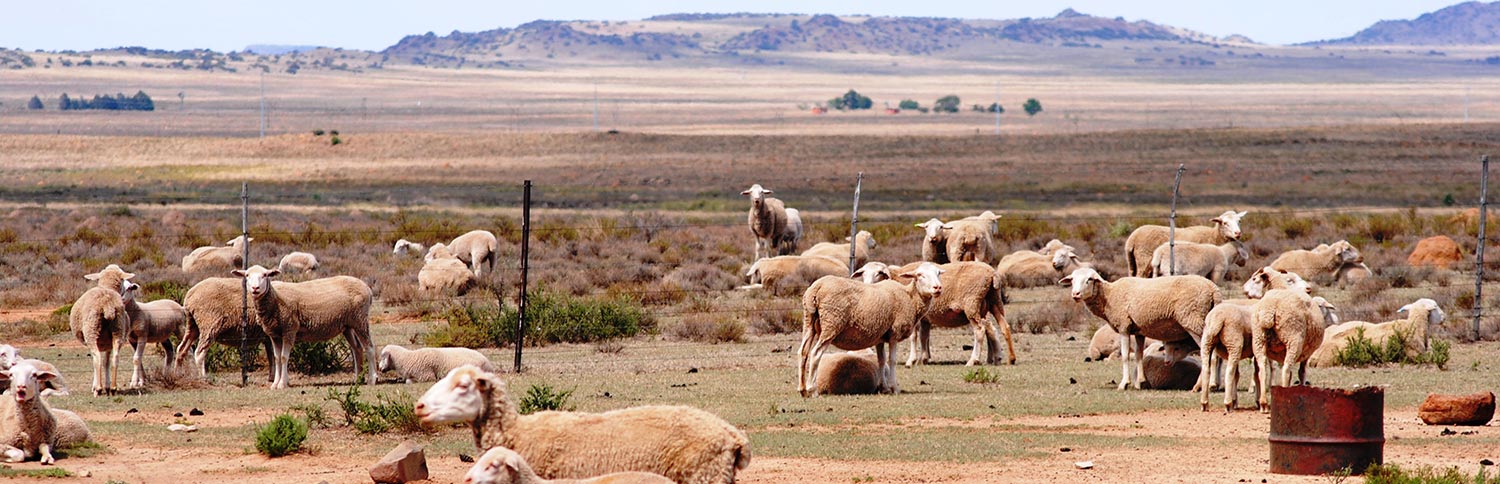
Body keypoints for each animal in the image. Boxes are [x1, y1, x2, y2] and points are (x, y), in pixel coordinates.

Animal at [68, 264, 133, 396]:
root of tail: (107, 304)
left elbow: (96, 362)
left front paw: (95, 386)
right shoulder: (108, 344)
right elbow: (106, 362)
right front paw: (107, 386)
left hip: (91, 331)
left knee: (97, 358)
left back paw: (98, 389)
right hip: (118, 330)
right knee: (115, 358)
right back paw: (113, 388)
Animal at [233, 265, 377, 389]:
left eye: (265, 275)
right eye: (247, 275)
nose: (255, 288)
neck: (275, 299)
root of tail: (367, 288)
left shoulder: (289, 329)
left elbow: (284, 357)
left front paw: (282, 384)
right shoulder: (275, 335)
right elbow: (277, 358)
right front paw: (275, 384)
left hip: (360, 320)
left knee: (369, 348)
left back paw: (372, 379)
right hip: (348, 326)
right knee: (357, 349)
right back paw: (358, 379)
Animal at [797, 262, 945, 397]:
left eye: (938, 273)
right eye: (920, 275)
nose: (937, 287)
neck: (910, 297)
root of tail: (817, 287)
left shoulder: (880, 336)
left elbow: (881, 360)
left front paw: (884, 388)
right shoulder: (894, 333)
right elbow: (892, 360)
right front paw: (894, 388)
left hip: (809, 321)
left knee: (803, 352)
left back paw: (802, 389)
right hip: (831, 323)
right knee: (815, 353)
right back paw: (812, 390)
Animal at [1059, 267, 1221, 390]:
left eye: (1089, 279)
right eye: (1072, 280)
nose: (1075, 294)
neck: (1109, 296)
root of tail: (1213, 289)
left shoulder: (1124, 327)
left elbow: (1125, 356)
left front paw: (1124, 383)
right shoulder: (1138, 331)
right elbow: (1138, 355)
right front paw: (1139, 383)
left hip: (1194, 320)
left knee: (1208, 354)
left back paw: (1202, 385)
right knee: (1217, 355)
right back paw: (1215, 384)